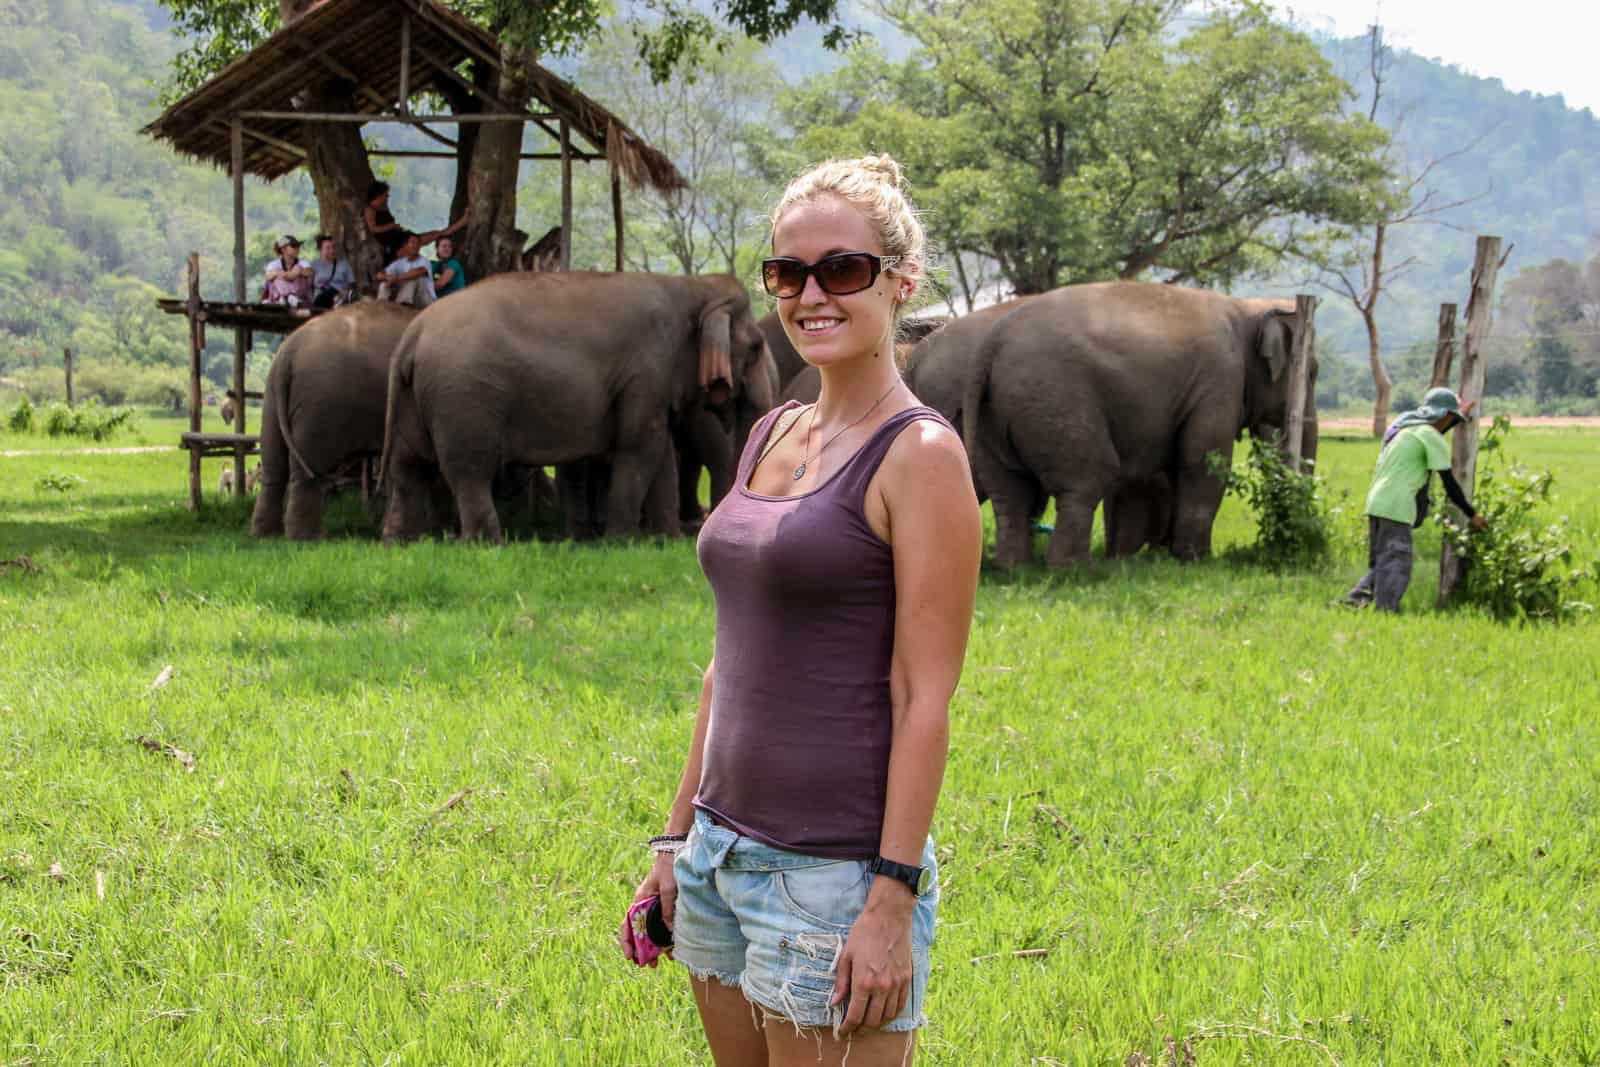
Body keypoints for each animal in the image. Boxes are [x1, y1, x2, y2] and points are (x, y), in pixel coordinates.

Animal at [251, 302, 419, 543]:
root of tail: (288, 351)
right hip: (318, 404)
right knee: (309, 468)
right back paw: (310, 538)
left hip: (271, 399)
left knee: (274, 465)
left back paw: (266, 536)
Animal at [380, 271, 768, 547]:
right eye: (757, 347)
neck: (692, 286)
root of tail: (412, 335)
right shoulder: (646, 370)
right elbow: (640, 448)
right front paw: (621, 543)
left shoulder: (652, 381)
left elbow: (658, 454)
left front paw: (662, 542)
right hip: (464, 397)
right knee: (469, 470)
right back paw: (487, 545)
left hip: (418, 400)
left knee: (407, 468)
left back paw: (399, 544)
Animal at [960, 281, 1312, 566]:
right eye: (1312, 372)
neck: (1244, 307)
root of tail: (991, 344)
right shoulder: (1220, 378)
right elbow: (1204, 461)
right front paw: (1196, 560)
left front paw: (1166, 554)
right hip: (1056, 399)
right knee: (1089, 478)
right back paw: (1076, 569)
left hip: (998, 414)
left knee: (1012, 493)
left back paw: (1014, 567)